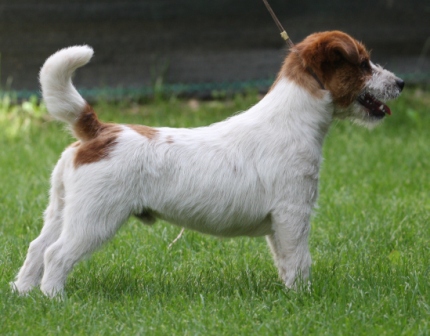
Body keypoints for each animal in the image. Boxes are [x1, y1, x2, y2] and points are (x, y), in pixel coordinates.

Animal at [12, 30, 404, 296]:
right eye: (364, 64)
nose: (400, 82)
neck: (293, 118)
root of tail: (98, 131)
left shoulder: (280, 224)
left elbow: (284, 260)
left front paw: (290, 295)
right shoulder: (293, 214)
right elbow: (299, 260)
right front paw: (303, 297)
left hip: (62, 210)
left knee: (38, 248)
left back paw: (24, 293)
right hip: (94, 219)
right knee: (57, 254)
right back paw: (54, 298)